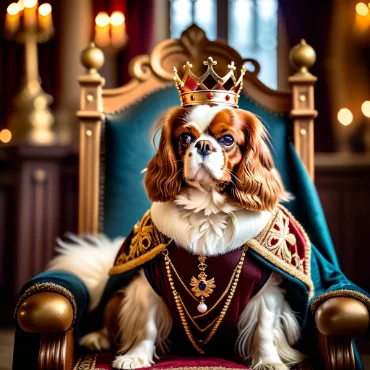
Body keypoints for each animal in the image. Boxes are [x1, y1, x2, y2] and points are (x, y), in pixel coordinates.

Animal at [48, 105, 304, 370]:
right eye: (186, 137)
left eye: (227, 140)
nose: (203, 145)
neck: (207, 210)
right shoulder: (148, 283)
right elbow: (147, 326)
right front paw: (135, 357)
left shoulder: (268, 289)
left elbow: (264, 329)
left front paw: (269, 361)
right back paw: (97, 338)